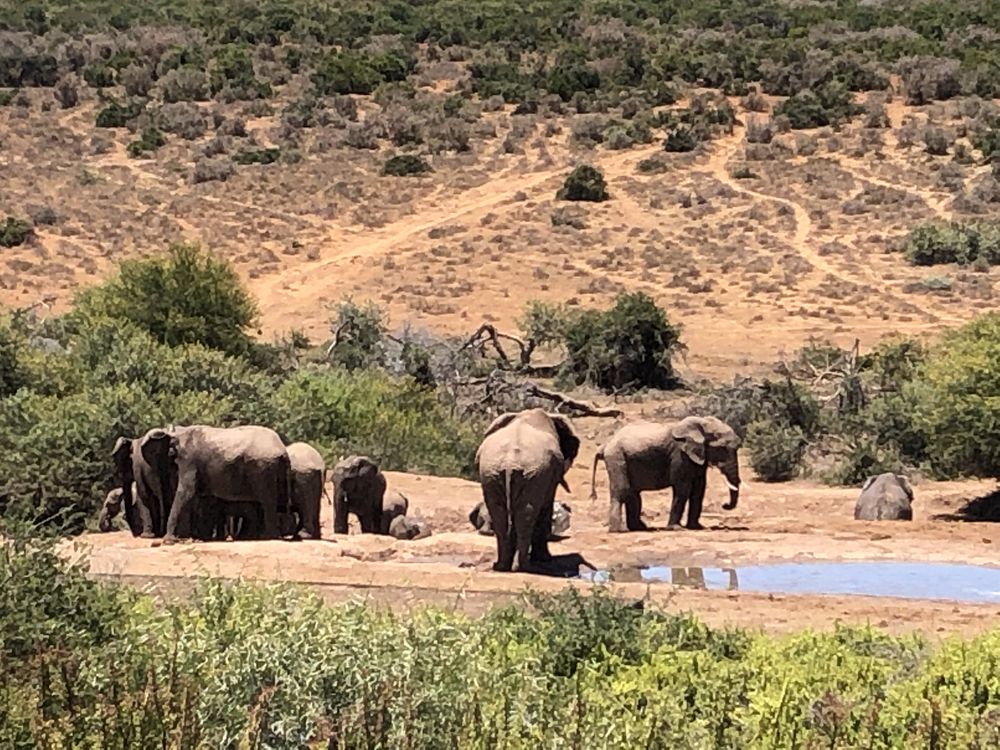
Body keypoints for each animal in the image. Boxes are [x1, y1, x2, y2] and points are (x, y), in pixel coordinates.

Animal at [141, 425, 292, 543]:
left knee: (267, 501)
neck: (179, 432)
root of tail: (283, 449)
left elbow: (187, 492)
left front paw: (169, 541)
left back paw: (269, 537)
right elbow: (206, 499)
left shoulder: (189, 461)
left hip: (263, 468)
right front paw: (201, 539)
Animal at [475, 408, 580, 573]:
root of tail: (510, 462)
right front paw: (545, 559)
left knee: (499, 512)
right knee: (527, 513)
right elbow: (546, 506)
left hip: (490, 471)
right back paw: (523, 567)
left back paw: (501, 566)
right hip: (534, 474)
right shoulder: (549, 475)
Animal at [591, 415, 742, 533]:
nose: (725, 505)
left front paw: (696, 527)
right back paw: (618, 530)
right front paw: (676, 528)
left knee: (633, 494)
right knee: (623, 490)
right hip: (617, 458)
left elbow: (699, 489)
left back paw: (640, 528)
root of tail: (605, 445)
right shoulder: (679, 454)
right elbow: (683, 489)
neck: (701, 425)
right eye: (722, 449)